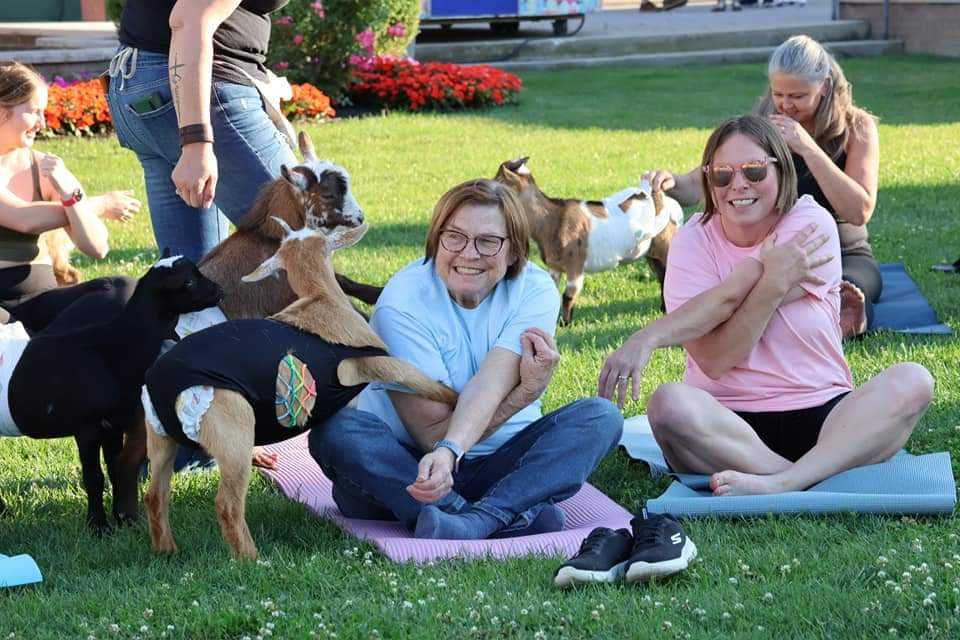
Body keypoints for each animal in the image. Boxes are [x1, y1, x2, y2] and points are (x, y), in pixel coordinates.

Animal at [142, 221, 458, 560]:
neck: (321, 298)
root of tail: (166, 385)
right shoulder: (375, 364)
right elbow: (422, 381)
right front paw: (456, 399)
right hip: (234, 438)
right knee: (227, 504)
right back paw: (251, 559)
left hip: (160, 440)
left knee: (155, 494)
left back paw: (167, 550)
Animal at [496, 156, 684, 324]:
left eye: (497, 180)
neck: (552, 218)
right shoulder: (555, 267)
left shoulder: (575, 264)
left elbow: (568, 295)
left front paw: (565, 325)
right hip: (651, 254)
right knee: (663, 277)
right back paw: (663, 309)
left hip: (667, 246)